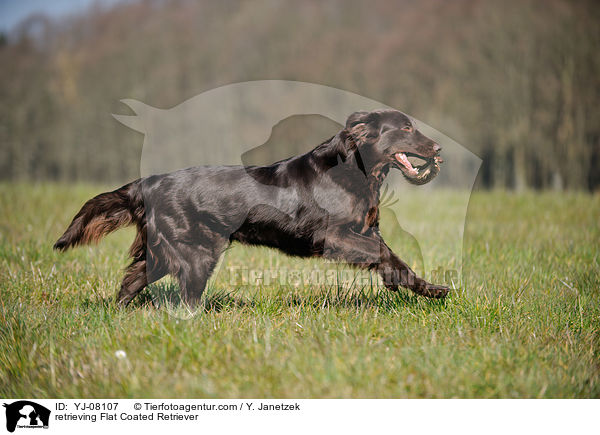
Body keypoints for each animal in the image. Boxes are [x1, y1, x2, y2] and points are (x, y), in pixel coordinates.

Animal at [56, 109, 448, 306]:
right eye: (407, 128)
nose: (439, 149)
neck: (355, 169)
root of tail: (148, 182)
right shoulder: (332, 236)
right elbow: (382, 253)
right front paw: (412, 286)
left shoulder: (364, 230)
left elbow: (390, 255)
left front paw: (419, 287)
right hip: (196, 254)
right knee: (185, 299)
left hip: (163, 253)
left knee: (131, 282)